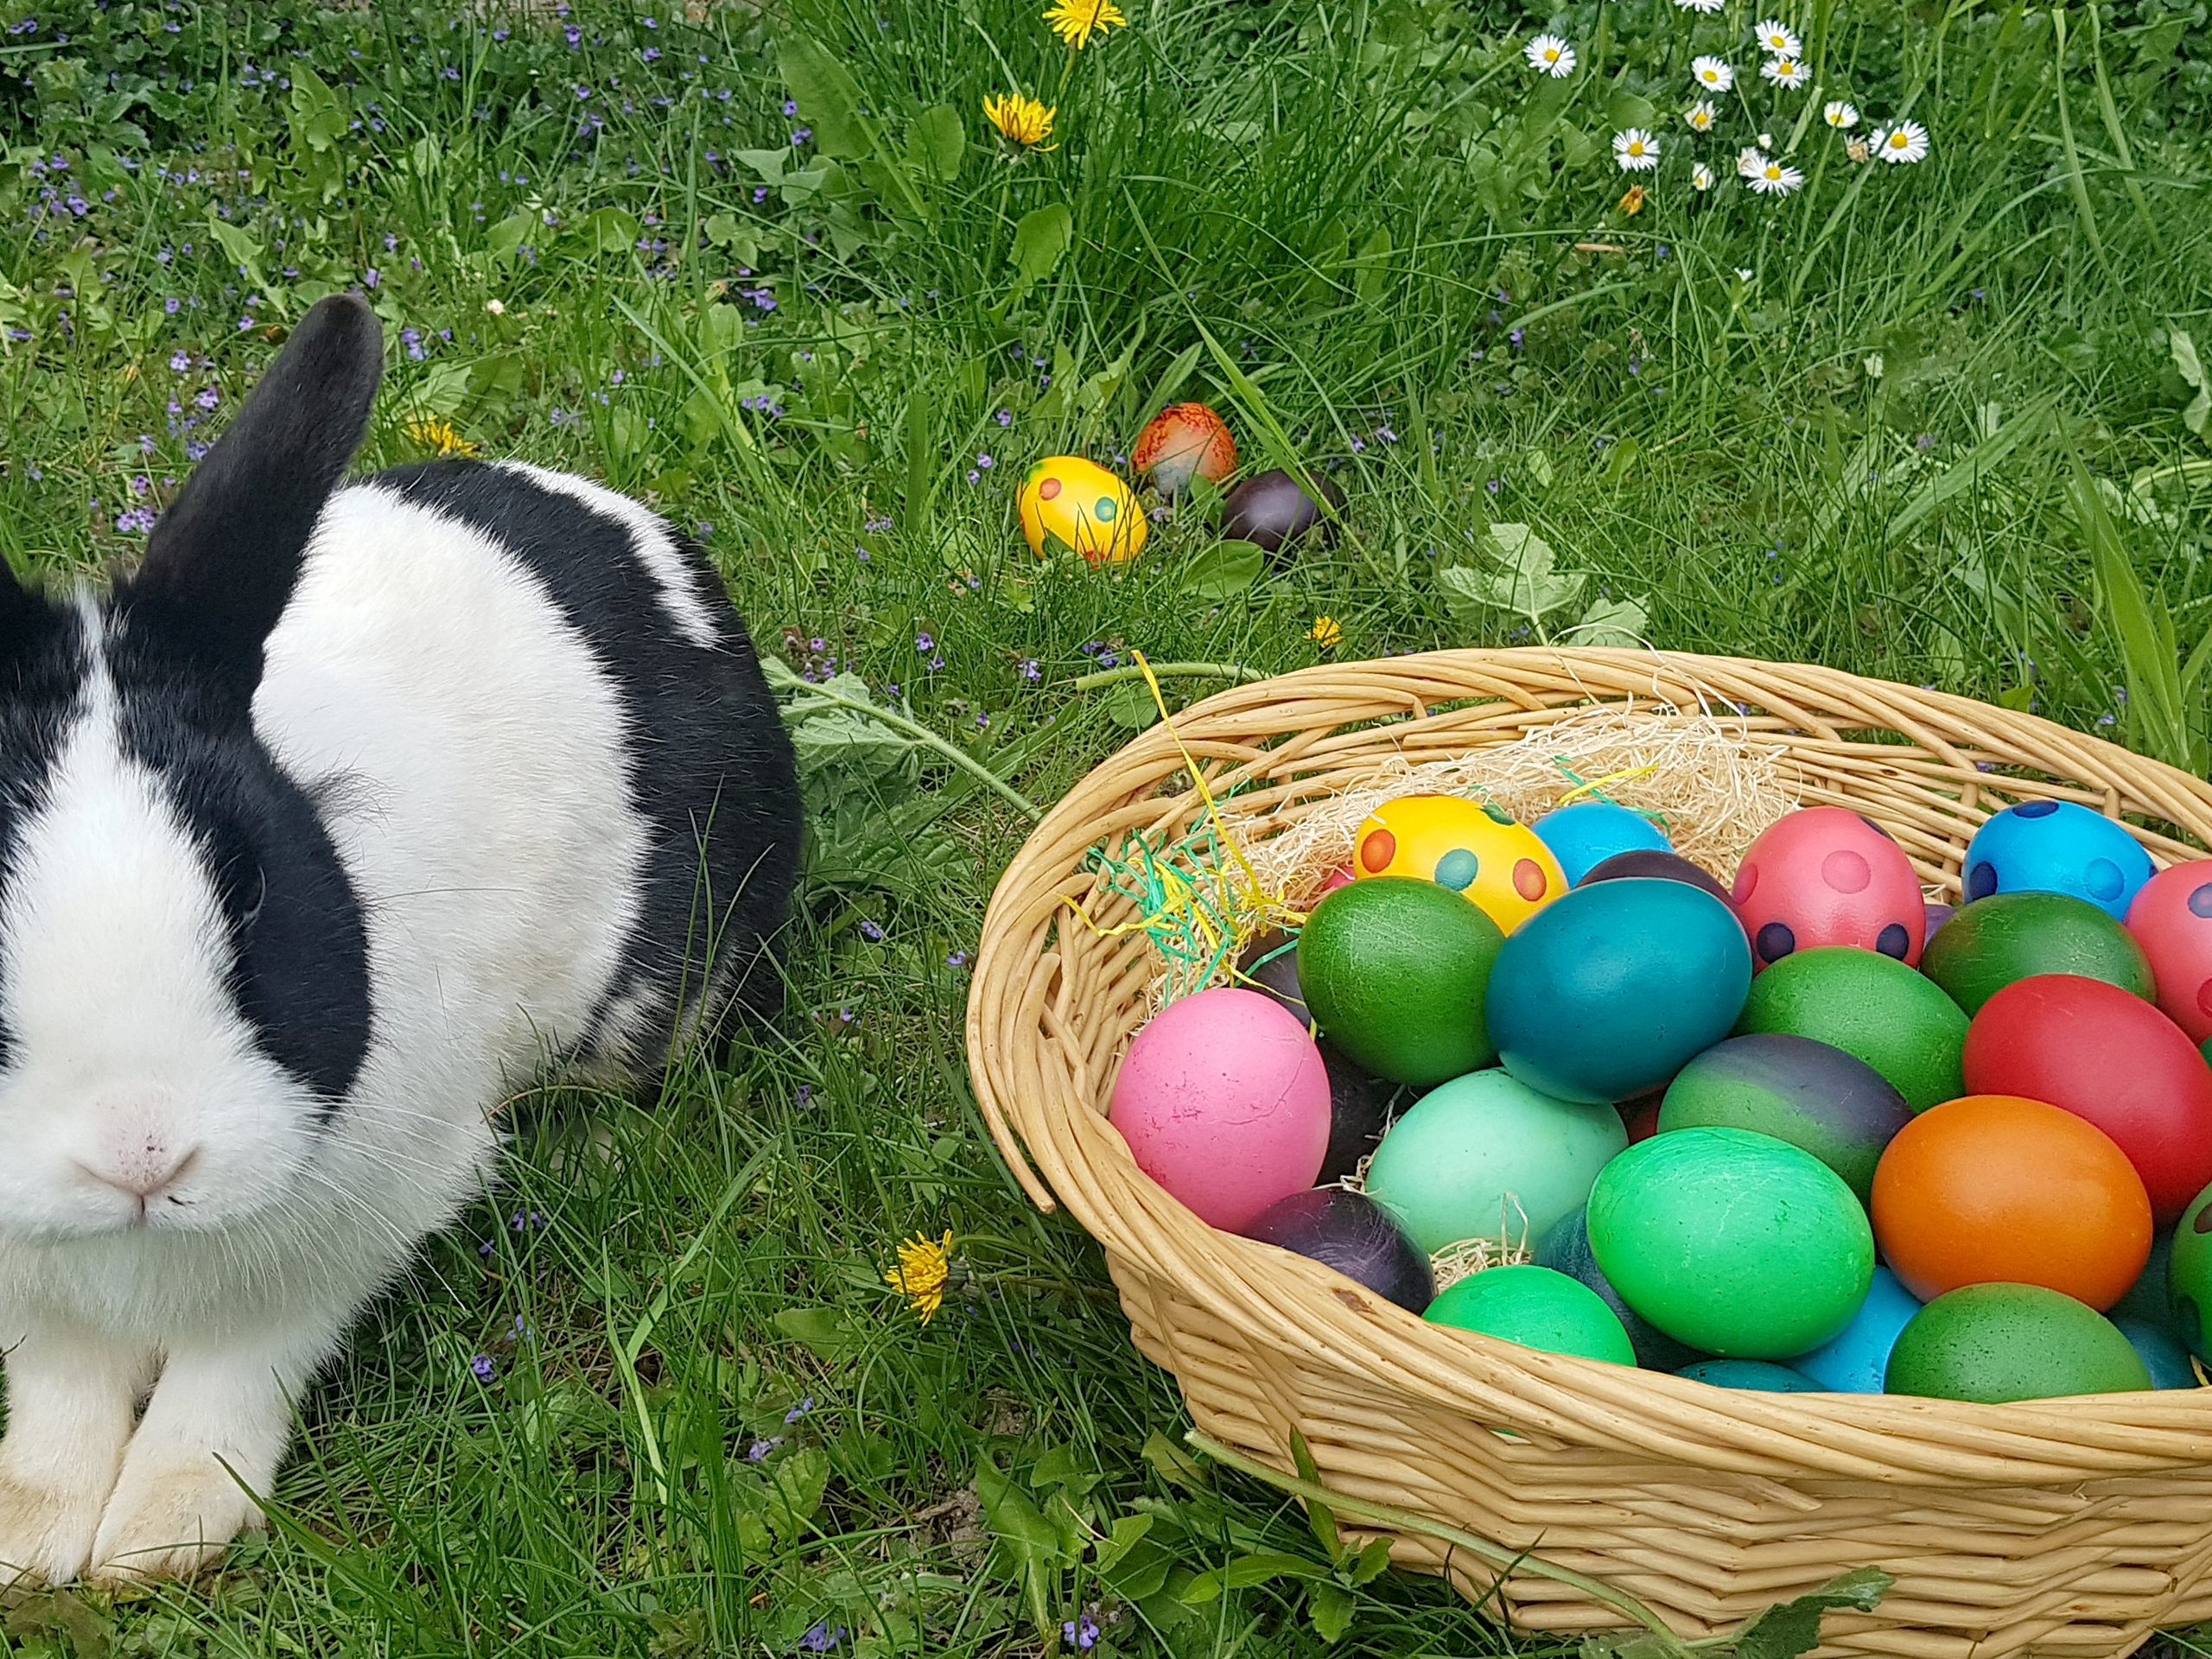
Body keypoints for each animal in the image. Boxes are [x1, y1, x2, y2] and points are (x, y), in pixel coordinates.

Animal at [0, 296, 804, 1583]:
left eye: (250, 888)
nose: (142, 1154)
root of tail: (652, 542)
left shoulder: (341, 1237)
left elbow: (230, 1373)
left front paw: (165, 1533)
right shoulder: (33, 1301)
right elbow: (61, 1393)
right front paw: (33, 1544)